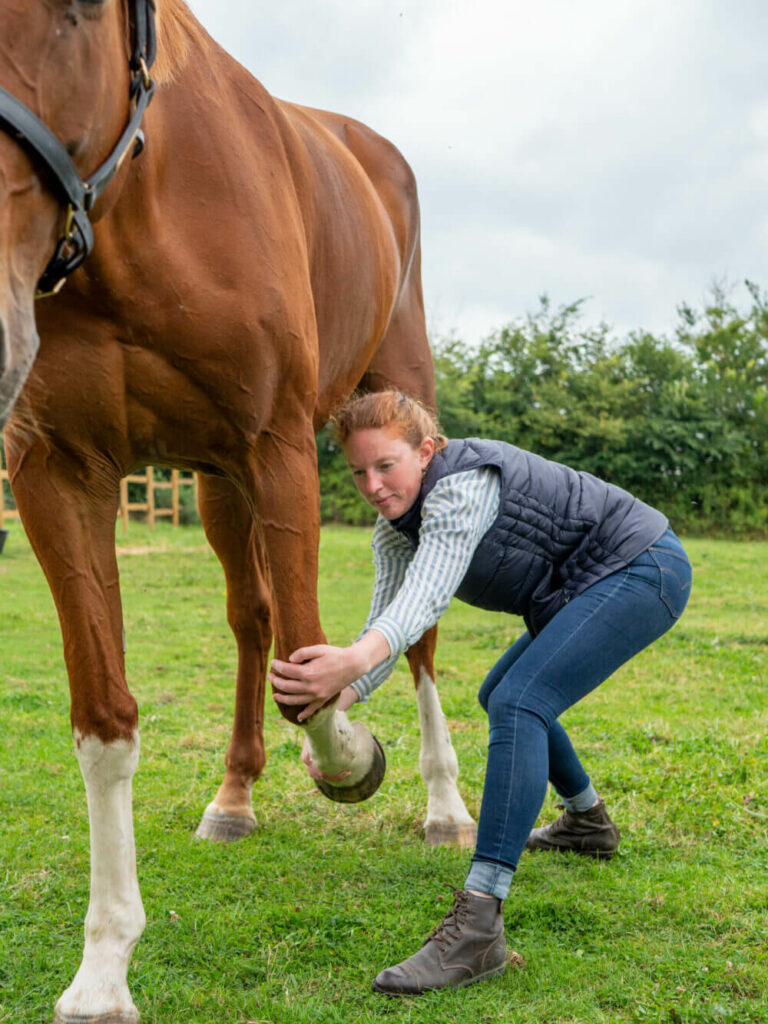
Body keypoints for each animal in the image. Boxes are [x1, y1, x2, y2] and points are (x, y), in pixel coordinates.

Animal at [1, 2, 475, 1024]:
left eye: (76, 12)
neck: (146, 200)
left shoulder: (279, 447)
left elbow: (315, 668)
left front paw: (354, 758)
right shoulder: (60, 473)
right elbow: (105, 718)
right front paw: (103, 968)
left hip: (392, 397)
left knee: (412, 629)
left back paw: (445, 807)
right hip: (218, 482)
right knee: (250, 620)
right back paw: (236, 795)